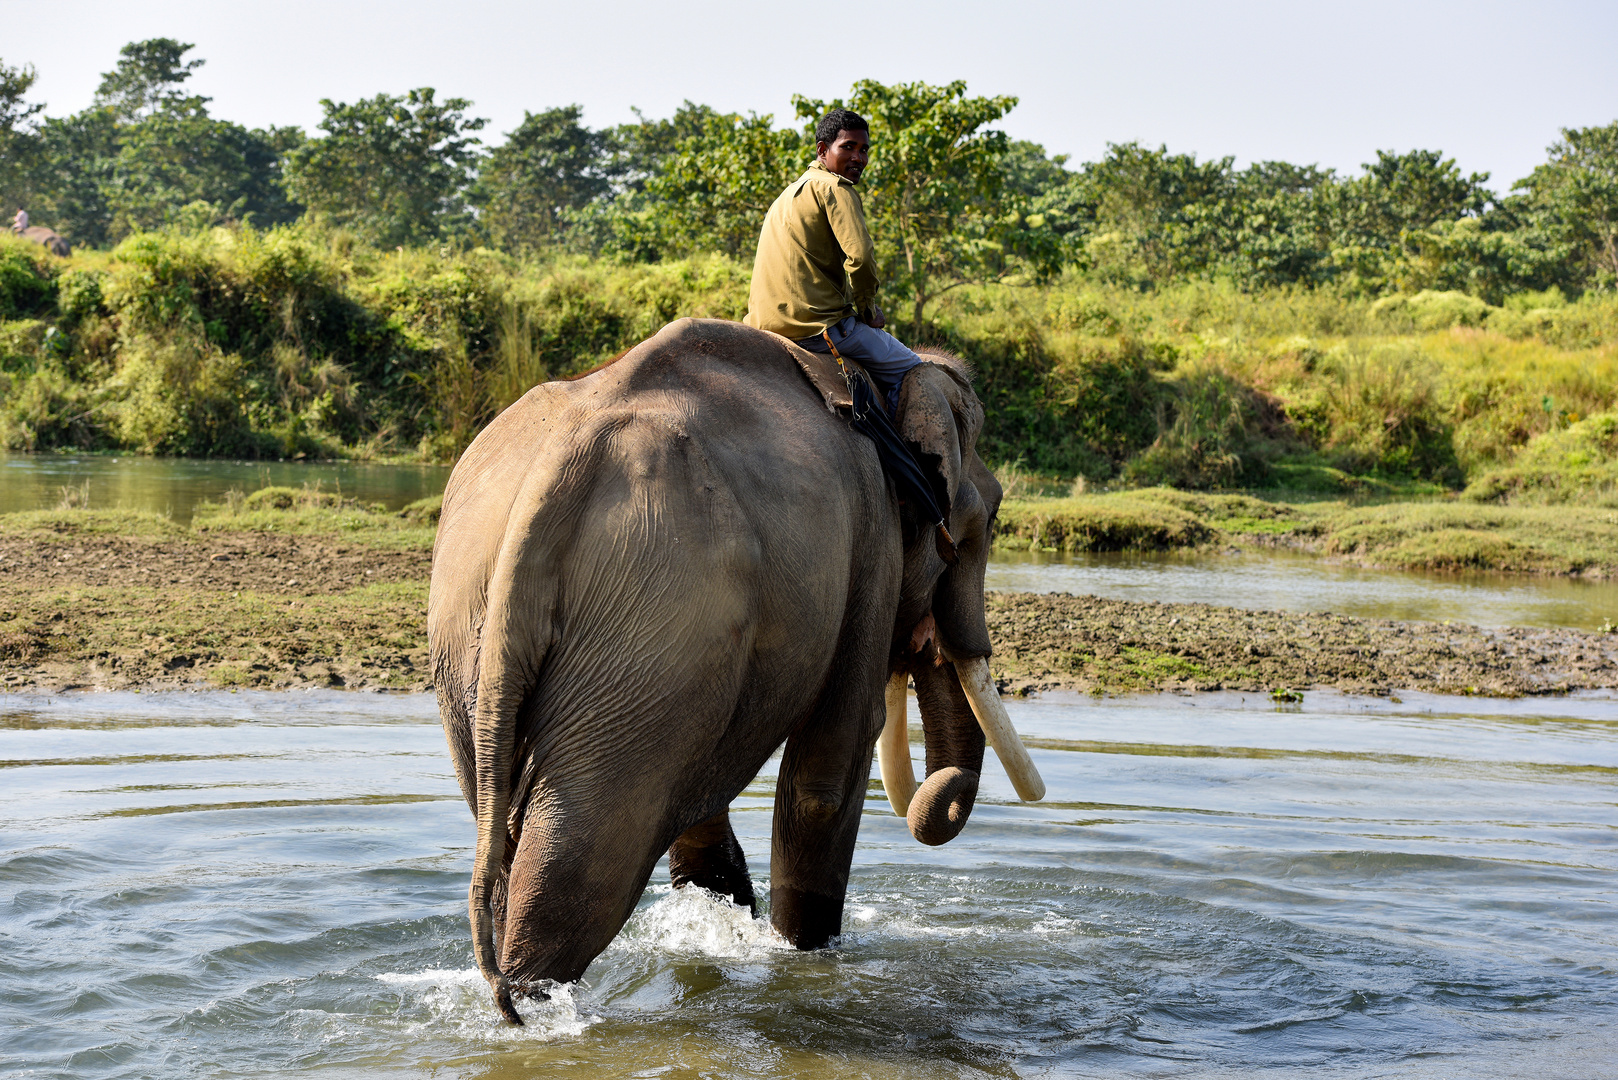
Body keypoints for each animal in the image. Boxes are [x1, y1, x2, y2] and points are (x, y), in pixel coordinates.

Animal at [423, 317, 1041, 1029]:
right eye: (991, 518)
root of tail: (556, 471)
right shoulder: (871, 538)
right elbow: (829, 769)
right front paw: (805, 955)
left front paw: (730, 926)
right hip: (651, 618)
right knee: (580, 852)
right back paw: (534, 1012)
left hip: (475, 639)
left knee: (525, 827)